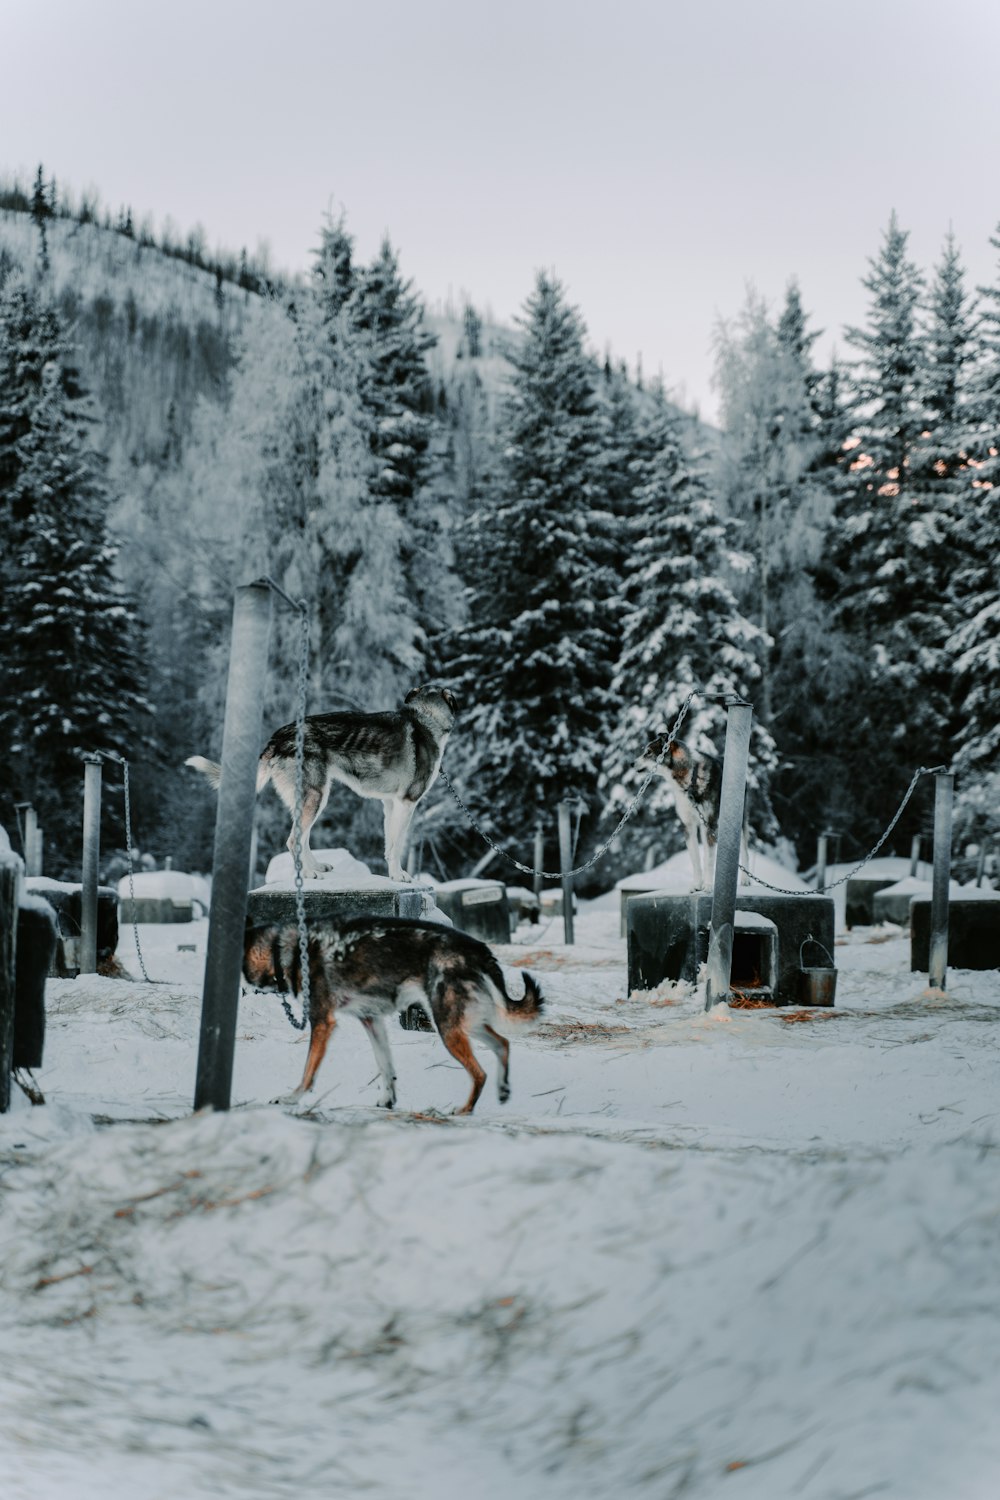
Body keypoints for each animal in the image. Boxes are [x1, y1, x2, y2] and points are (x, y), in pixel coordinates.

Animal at [185, 687, 455, 882]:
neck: (426, 718)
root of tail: (277, 737)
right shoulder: (407, 804)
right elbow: (397, 846)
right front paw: (399, 876)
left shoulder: (390, 805)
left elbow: (389, 846)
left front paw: (392, 874)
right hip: (316, 796)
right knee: (294, 840)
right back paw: (306, 874)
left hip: (314, 798)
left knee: (303, 839)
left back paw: (315, 867)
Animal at [244, 912, 548, 1116]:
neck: (288, 950)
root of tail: (479, 948)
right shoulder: (372, 1022)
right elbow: (386, 1067)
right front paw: (387, 1101)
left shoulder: (322, 1023)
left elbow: (308, 1073)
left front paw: (291, 1098)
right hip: (465, 1023)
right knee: (503, 1044)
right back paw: (503, 1089)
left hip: (448, 1027)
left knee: (480, 1072)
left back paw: (465, 1109)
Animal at [638, 738, 746, 888]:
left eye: (648, 752)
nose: (632, 763)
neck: (690, 780)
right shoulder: (688, 825)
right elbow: (695, 859)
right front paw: (697, 884)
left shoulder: (710, 823)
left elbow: (709, 859)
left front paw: (708, 885)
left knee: (744, 851)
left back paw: (745, 880)